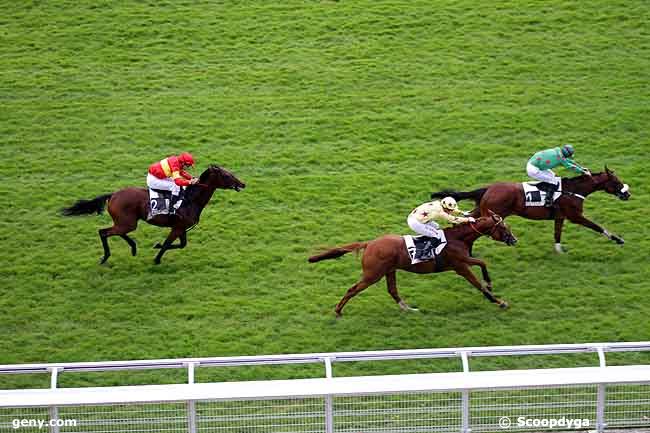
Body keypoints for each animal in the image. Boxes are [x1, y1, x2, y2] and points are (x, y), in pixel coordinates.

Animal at [62, 165, 244, 264]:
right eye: (227, 175)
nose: (242, 184)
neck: (191, 199)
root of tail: (112, 195)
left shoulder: (181, 227)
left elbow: (181, 244)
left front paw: (156, 247)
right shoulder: (177, 228)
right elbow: (167, 244)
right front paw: (157, 258)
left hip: (127, 223)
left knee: (115, 233)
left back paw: (133, 247)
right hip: (127, 223)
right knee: (104, 232)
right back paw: (106, 256)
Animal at [308, 213, 516, 318]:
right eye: (503, 227)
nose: (514, 240)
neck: (458, 239)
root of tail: (369, 243)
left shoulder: (462, 263)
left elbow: (482, 264)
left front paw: (492, 289)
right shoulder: (460, 265)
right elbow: (480, 276)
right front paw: (498, 299)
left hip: (389, 270)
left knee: (392, 290)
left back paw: (408, 309)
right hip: (372, 274)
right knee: (353, 289)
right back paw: (338, 311)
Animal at [430, 166, 628, 253]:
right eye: (616, 182)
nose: (627, 194)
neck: (573, 189)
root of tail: (488, 188)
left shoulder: (560, 216)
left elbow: (557, 234)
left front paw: (559, 251)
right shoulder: (575, 215)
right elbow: (597, 226)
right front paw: (618, 239)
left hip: (484, 210)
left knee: (469, 218)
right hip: (494, 213)